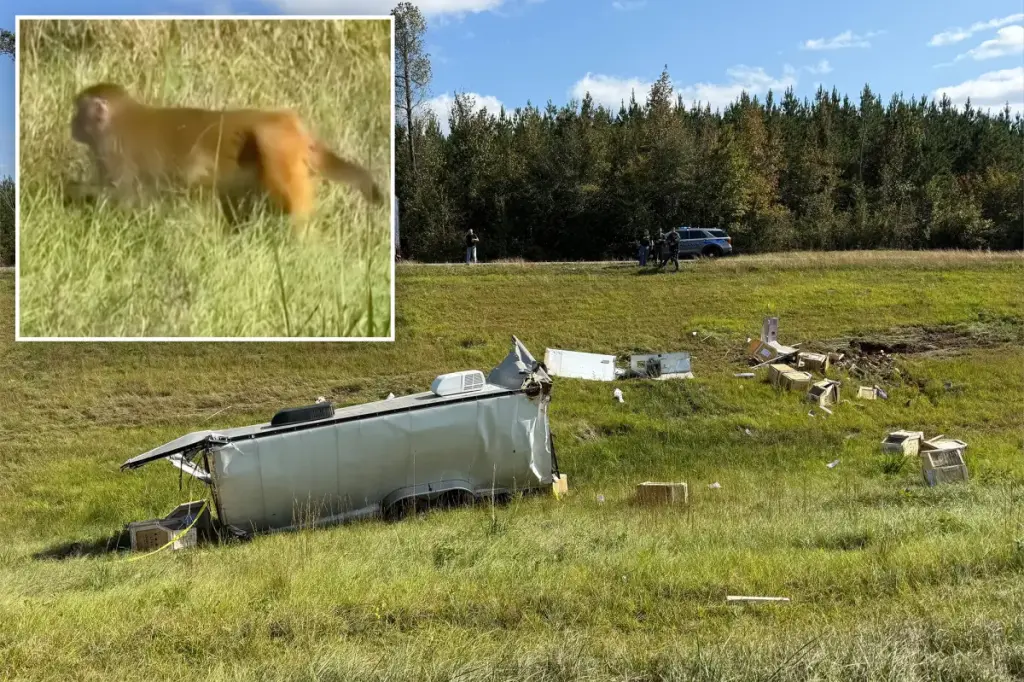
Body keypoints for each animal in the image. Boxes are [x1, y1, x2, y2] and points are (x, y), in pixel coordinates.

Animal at [67, 82, 385, 235]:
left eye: (78, 111)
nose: (72, 123)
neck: (117, 120)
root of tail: (293, 126)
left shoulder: (113, 151)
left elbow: (124, 198)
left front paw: (76, 197)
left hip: (278, 146)